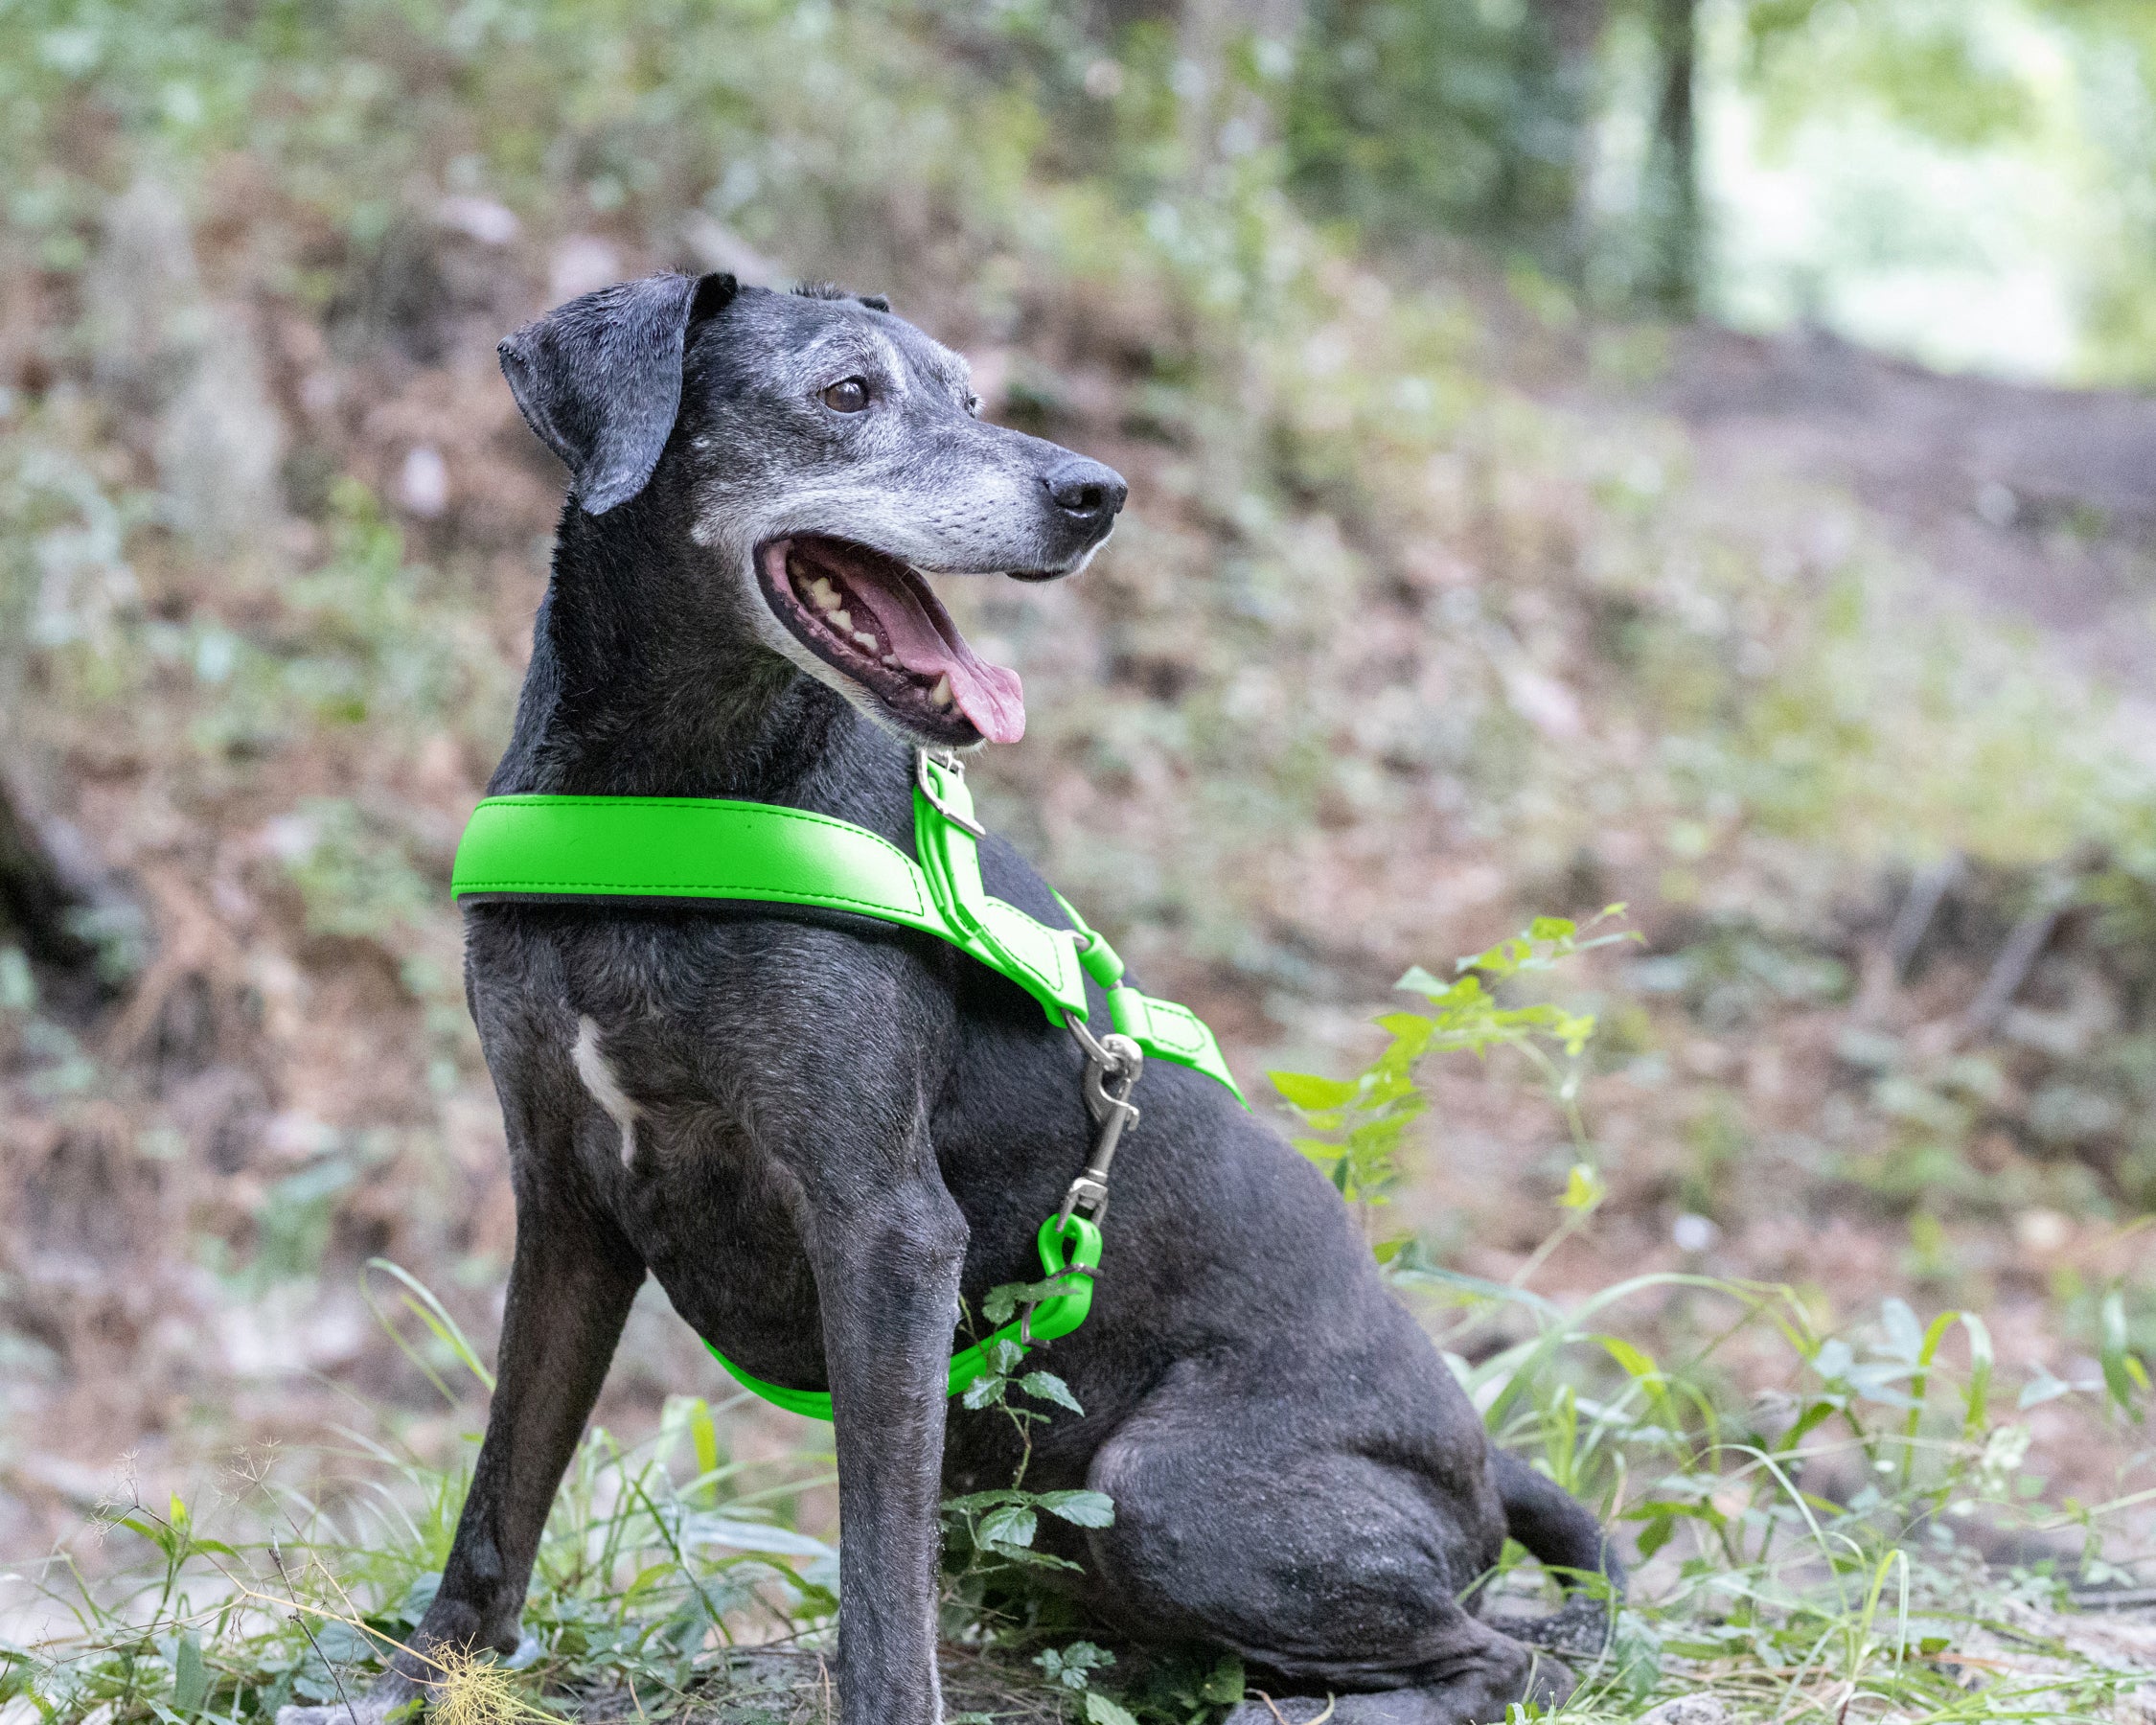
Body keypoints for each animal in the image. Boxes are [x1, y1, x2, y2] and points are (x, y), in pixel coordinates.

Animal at [282, 269, 1621, 1725]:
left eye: (972, 396)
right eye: (845, 393)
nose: (1096, 492)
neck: (670, 793)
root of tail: (1484, 1467)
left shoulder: (885, 1228)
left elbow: (878, 1577)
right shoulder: (565, 1201)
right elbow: (500, 1493)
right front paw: (417, 1679)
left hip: (1165, 1490)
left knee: (1506, 1658)